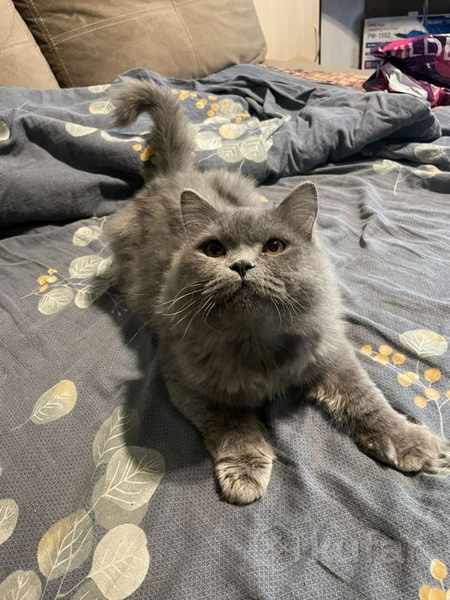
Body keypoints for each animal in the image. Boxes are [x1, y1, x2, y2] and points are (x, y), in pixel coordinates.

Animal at [106, 80, 450, 505]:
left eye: (273, 247)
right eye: (214, 250)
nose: (241, 265)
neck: (258, 344)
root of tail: (173, 175)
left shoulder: (333, 355)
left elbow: (369, 400)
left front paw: (410, 442)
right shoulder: (186, 380)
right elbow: (233, 423)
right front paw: (245, 471)